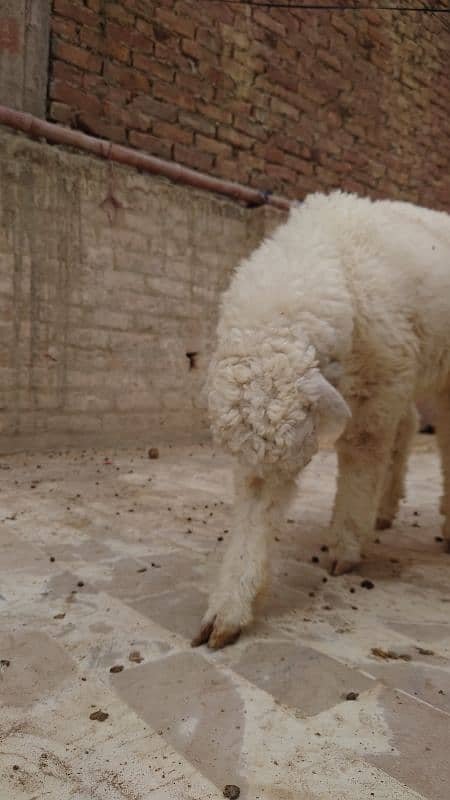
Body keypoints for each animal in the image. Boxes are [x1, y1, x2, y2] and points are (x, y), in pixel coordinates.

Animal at [192, 194, 450, 648]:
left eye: (298, 457)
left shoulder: (375, 396)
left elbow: (360, 471)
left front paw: (343, 551)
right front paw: (226, 612)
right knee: (409, 425)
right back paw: (385, 512)